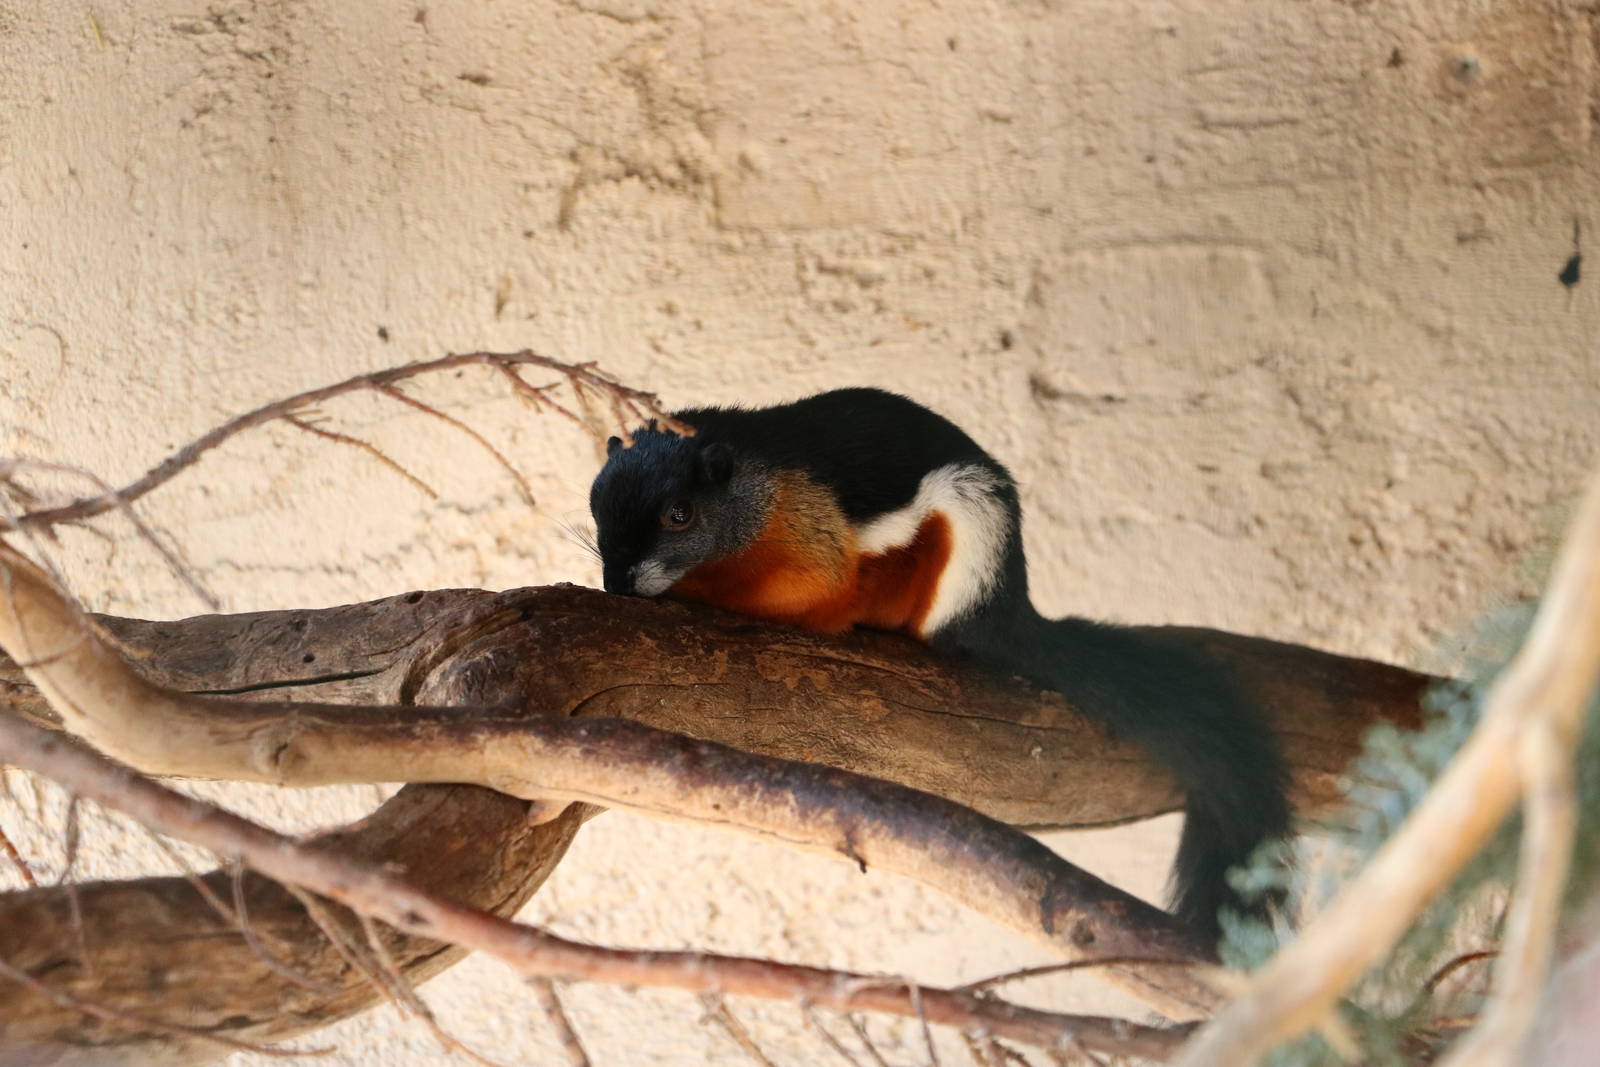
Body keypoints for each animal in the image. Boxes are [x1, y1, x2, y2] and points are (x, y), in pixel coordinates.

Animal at [588, 387, 1290, 941]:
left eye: (680, 515)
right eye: (597, 511)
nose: (620, 582)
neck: (753, 494)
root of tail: (1006, 608)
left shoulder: (810, 532)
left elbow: (812, 587)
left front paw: (694, 592)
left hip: (965, 540)